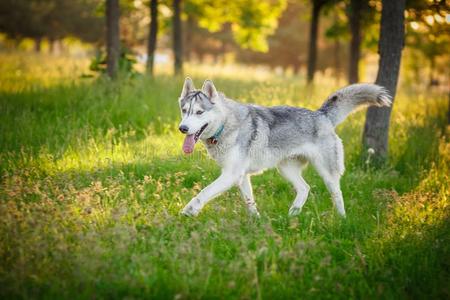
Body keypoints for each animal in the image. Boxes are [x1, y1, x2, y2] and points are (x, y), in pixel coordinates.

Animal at [178, 78, 388, 217]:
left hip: (327, 173)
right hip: (286, 169)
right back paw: (293, 214)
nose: (183, 128)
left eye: (199, 112)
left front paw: (189, 210)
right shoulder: (241, 176)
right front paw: (256, 222)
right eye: (184, 111)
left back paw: (341, 219)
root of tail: (322, 114)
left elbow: (203, 193)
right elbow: (249, 202)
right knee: (305, 188)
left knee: (337, 194)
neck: (226, 125)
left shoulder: (231, 175)